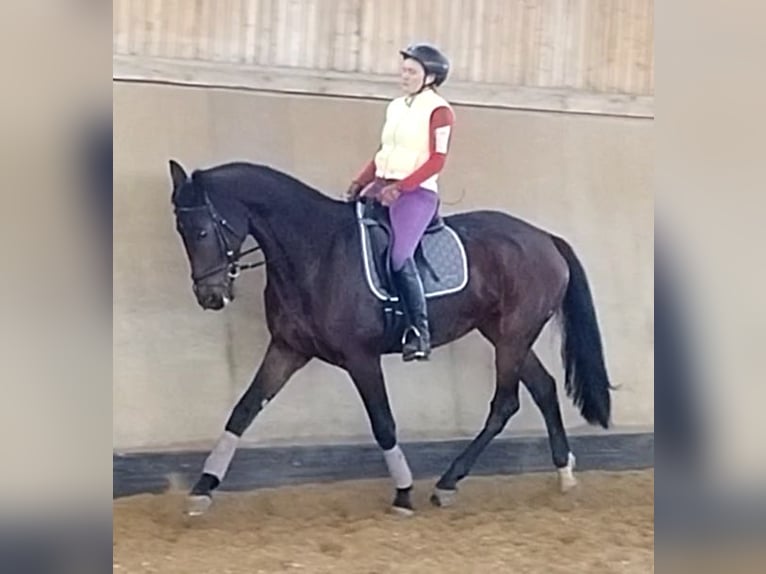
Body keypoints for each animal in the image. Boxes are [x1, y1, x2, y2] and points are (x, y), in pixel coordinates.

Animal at [168, 158, 614, 516]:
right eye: (181, 231)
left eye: (202, 231)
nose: (209, 297)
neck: (316, 253)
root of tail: (545, 238)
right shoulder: (287, 349)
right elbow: (243, 411)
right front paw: (202, 489)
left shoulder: (360, 357)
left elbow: (383, 423)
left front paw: (402, 493)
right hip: (504, 334)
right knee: (544, 387)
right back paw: (564, 474)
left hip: (512, 334)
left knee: (505, 403)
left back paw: (447, 484)